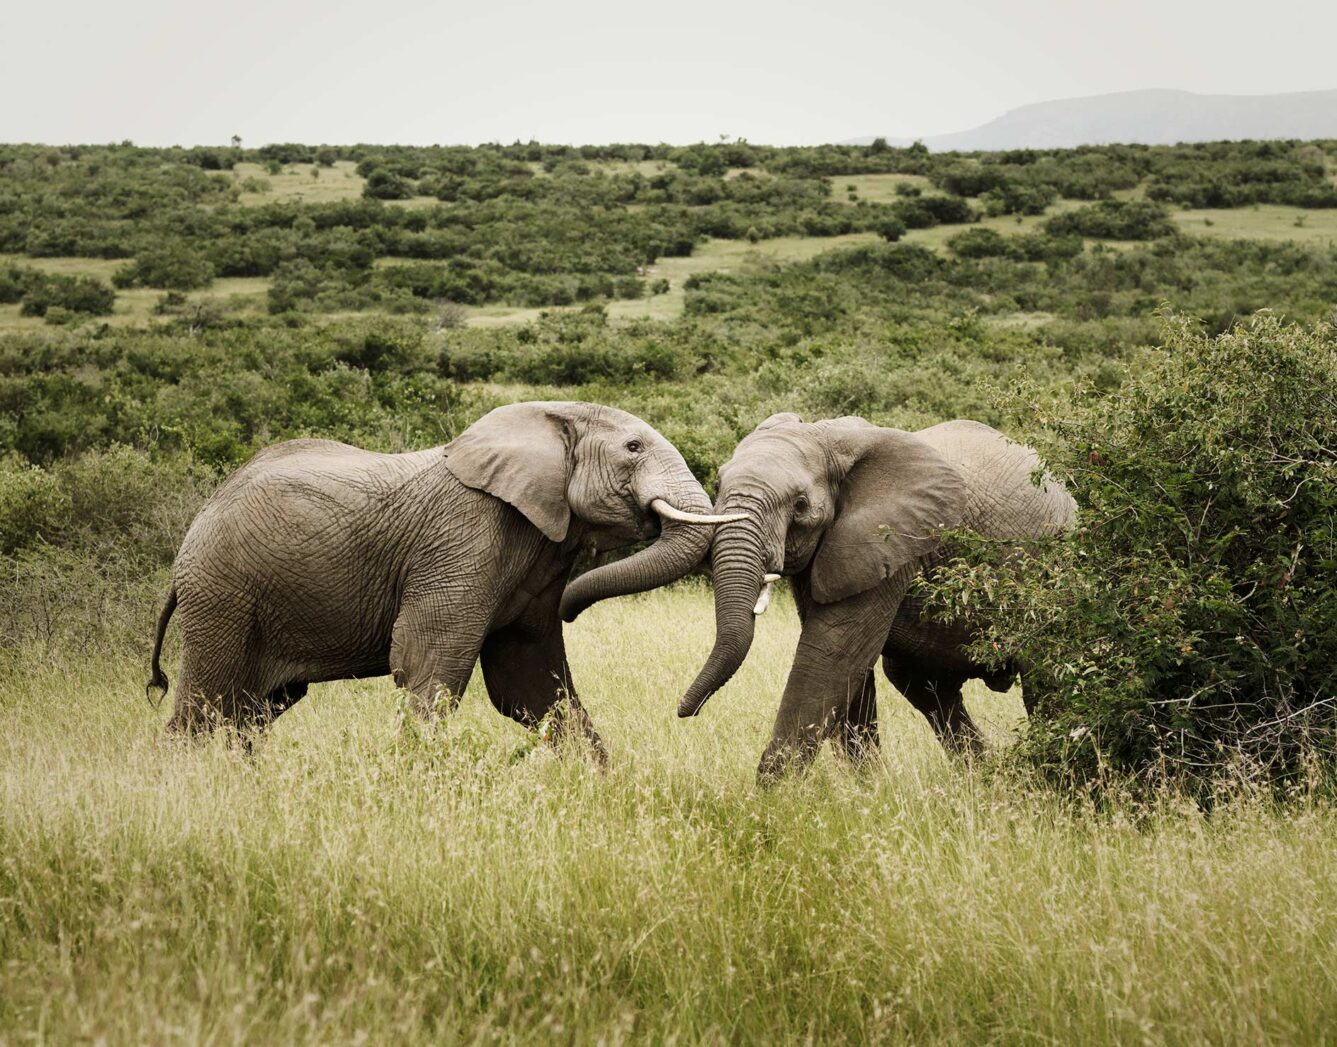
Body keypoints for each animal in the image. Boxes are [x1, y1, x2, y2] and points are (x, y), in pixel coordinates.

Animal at [149, 398, 743, 748]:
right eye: (634, 447)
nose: (685, 713)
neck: (546, 418)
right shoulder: (463, 541)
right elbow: (427, 666)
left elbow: (531, 683)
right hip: (223, 594)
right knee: (206, 705)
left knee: (251, 710)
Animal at [679, 414, 1074, 780]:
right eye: (718, 484)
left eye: (801, 505)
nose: (685, 710)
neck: (825, 434)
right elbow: (849, 667)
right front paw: (868, 789)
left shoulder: (890, 539)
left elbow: (833, 654)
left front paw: (771, 796)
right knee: (925, 687)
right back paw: (984, 778)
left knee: (1044, 679)